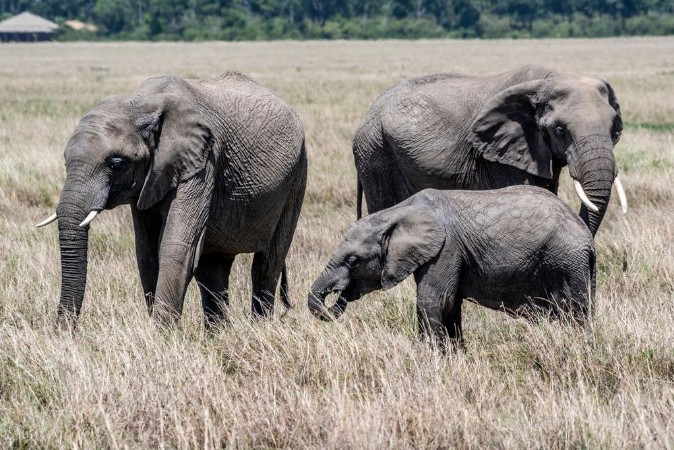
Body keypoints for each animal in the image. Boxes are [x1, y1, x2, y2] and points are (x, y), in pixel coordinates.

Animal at [37, 71, 307, 328]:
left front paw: (161, 334)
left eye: (115, 163)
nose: (66, 331)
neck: (142, 103)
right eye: (65, 160)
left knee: (267, 264)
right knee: (212, 269)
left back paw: (259, 327)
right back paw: (218, 334)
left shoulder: (203, 163)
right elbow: (146, 254)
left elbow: (176, 245)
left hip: (296, 177)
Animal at [309, 186, 595, 347]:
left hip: (566, 261)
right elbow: (451, 304)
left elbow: (433, 300)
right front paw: (455, 354)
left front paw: (428, 356)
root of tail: (587, 238)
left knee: (576, 313)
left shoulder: (446, 249)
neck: (397, 212)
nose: (337, 295)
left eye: (353, 260)